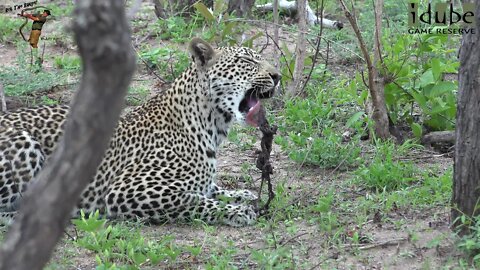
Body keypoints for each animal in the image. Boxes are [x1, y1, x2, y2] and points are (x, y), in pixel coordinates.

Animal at [0, 38, 282, 227]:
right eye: (246, 61)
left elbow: (209, 189)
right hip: (25, 145)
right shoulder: (125, 190)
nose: (277, 75)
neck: (212, 126)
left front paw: (242, 195)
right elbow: (194, 200)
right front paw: (239, 211)